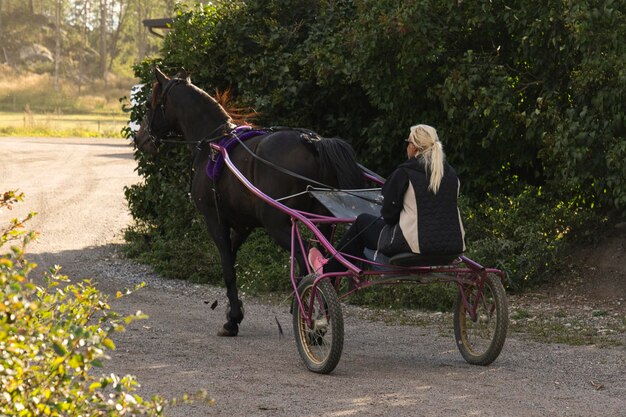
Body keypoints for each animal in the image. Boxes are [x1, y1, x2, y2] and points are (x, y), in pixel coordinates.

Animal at [134, 68, 364, 334]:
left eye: (149, 105)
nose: (139, 138)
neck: (213, 144)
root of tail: (313, 142)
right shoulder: (244, 223)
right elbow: (232, 259)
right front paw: (234, 310)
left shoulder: (215, 219)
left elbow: (227, 267)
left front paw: (232, 319)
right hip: (323, 222)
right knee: (326, 263)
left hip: (279, 225)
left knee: (307, 260)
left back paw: (308, 314)